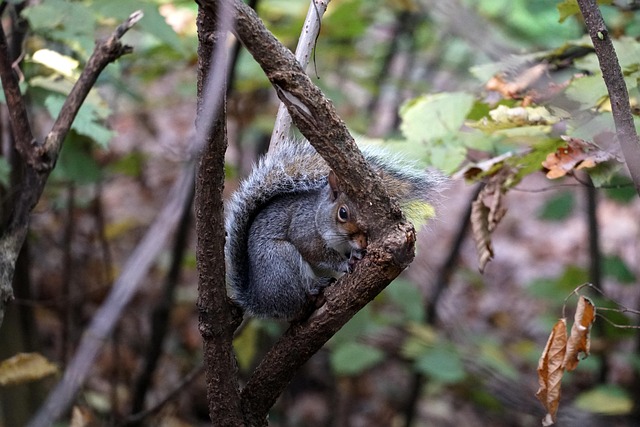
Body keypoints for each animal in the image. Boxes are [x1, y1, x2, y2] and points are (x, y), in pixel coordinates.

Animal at [225, 139, 445, 320]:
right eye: (343, 213)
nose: (363, 243)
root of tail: (260, 301)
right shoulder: (304, 231)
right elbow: (317, 252)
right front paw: (345, 263)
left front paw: (357, 254)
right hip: (280, 261)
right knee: (298, 298)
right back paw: (316, 287)